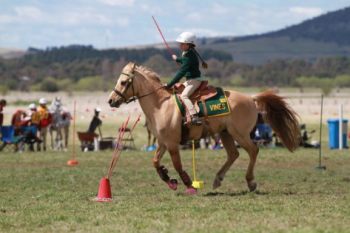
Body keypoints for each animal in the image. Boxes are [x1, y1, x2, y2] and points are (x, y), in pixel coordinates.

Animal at [107, 62, 300, 195]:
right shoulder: (162, 142)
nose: (111, 100)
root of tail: (251, 98)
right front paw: (169, 180)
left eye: (123, 82)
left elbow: (177, 165)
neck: (161, 105)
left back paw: (250, 182)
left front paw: (188, 184)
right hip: (225, 134)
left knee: (253, 150)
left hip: (240, 134)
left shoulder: (172, 144)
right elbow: (155, 162)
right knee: (233, 154)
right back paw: (217, 180)